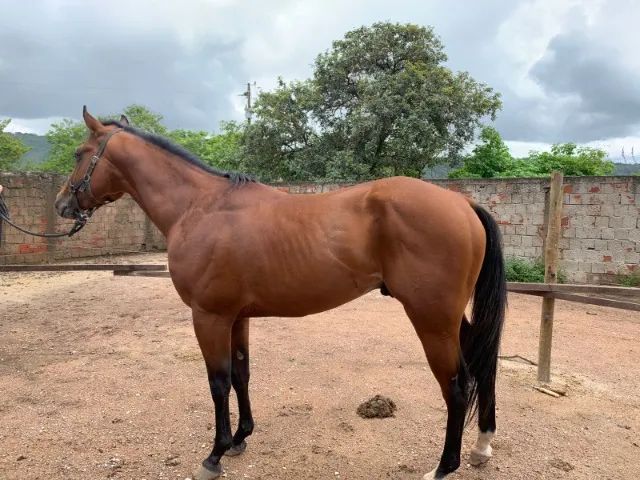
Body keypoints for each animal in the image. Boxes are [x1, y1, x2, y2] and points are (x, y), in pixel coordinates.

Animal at [54, 107, 506, 480]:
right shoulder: (236, 316)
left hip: (432, 320)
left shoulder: (209, 316)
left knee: (457, 385)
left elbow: (218, 381)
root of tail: (462, 204)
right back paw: (481, 447)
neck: (201, 207)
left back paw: (444, 467)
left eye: (79, 153)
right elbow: (241, 374)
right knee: (483, 367)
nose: (61, 205)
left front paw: (214, 455)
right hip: (451, 319)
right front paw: (240, 439)